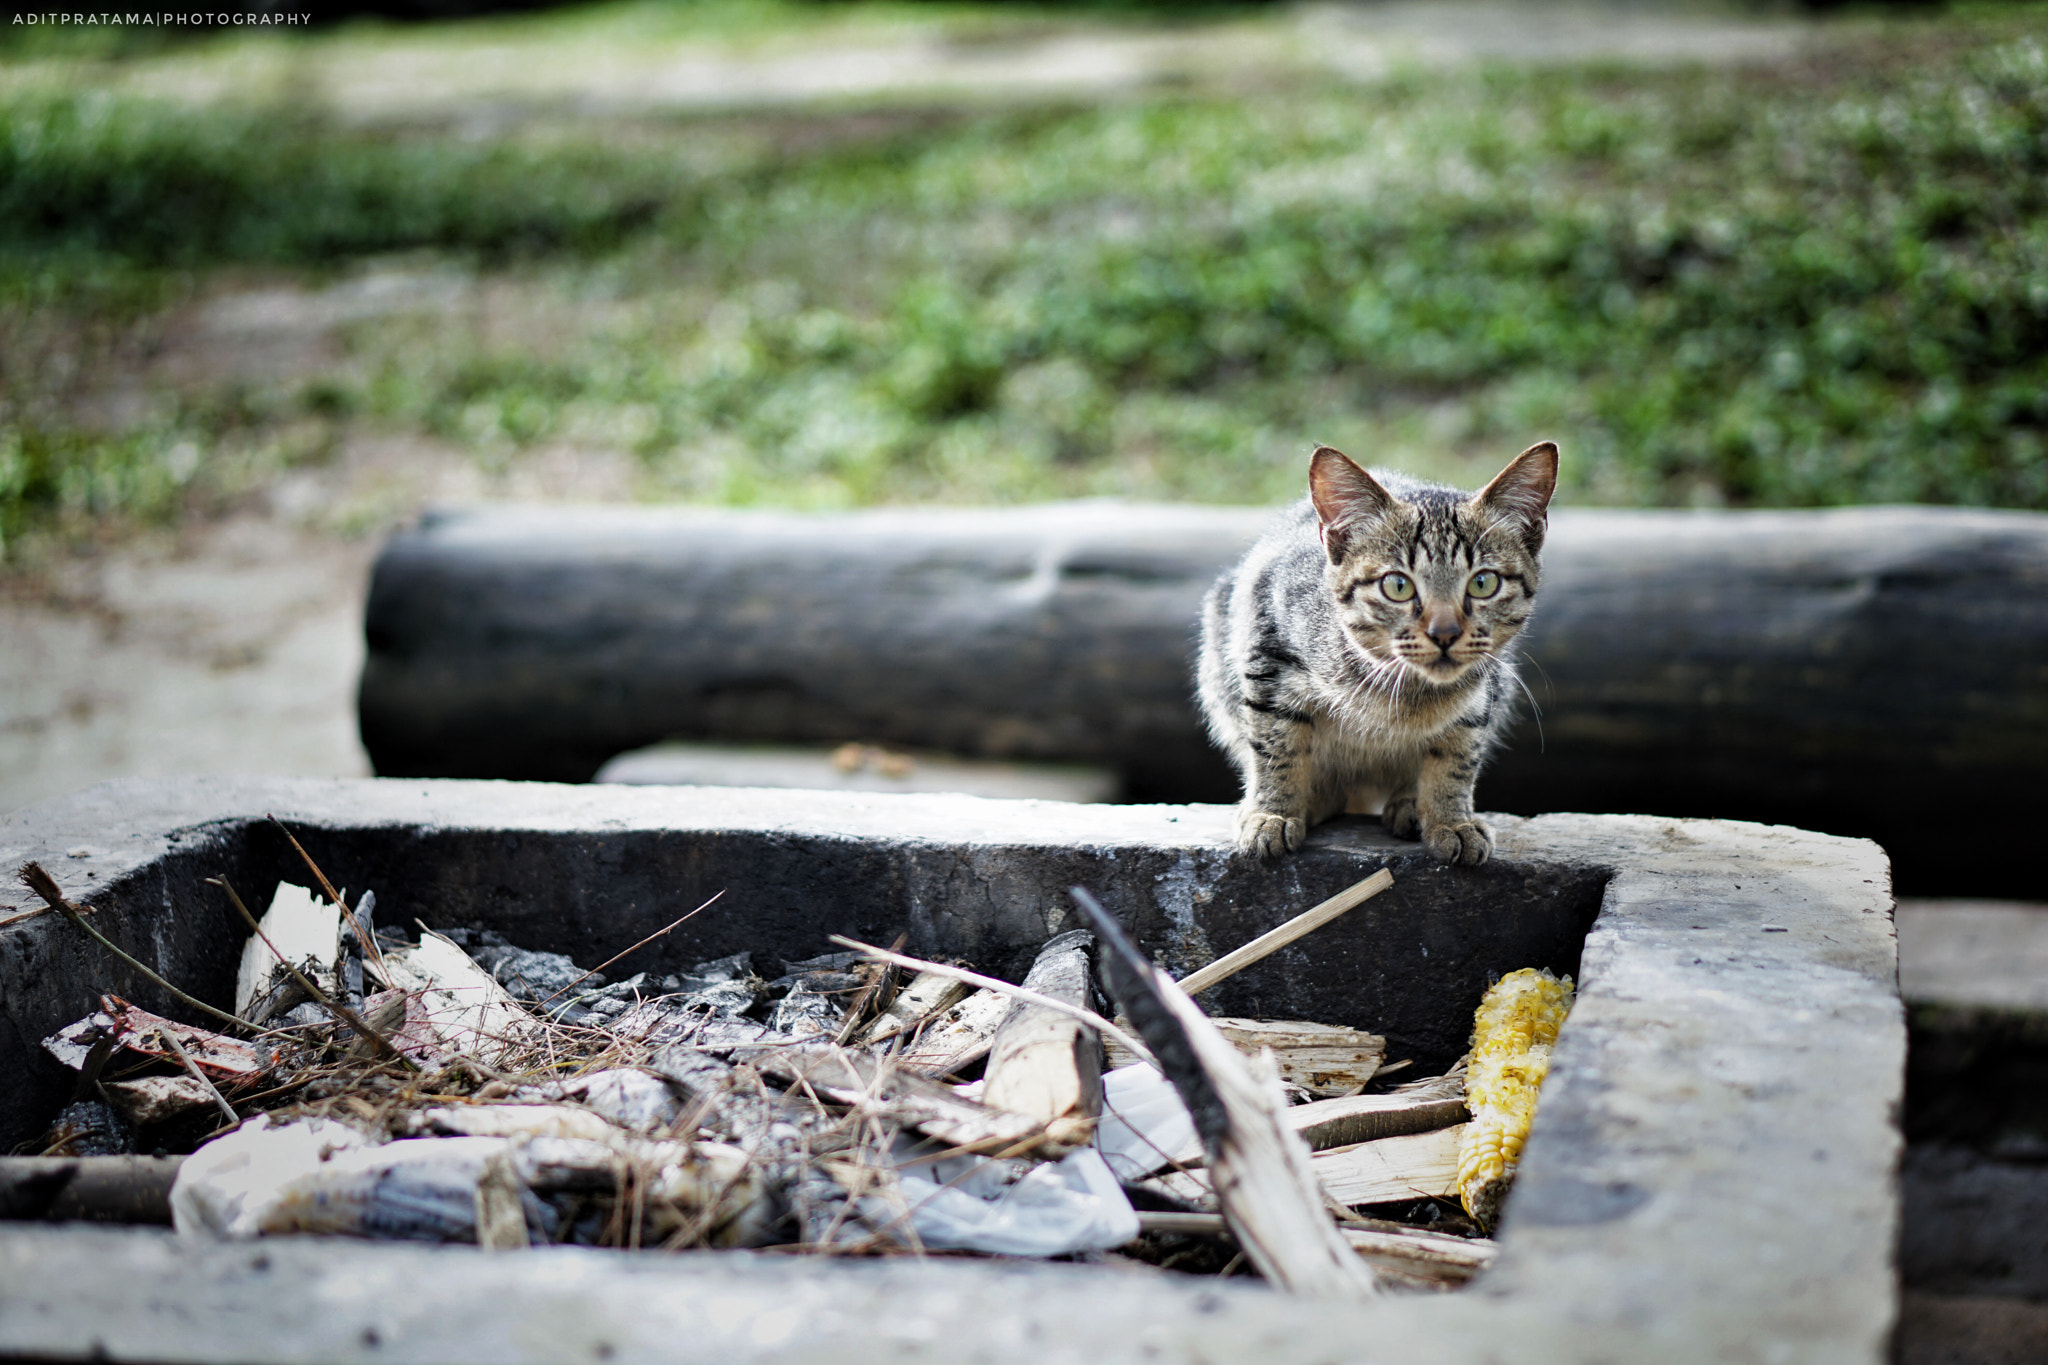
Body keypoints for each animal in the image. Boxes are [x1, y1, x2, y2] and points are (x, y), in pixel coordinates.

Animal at [1196, 439, 1556, 863]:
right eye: (1398, 586)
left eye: (1483, 583)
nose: (1445, 632)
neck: (1404, 691)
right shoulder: (1266, 654)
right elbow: (1275, 749)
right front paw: (1273, 813)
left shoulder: (1481, 697)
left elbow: (1456, 759)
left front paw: (1451, 819)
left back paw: (1408, 804)